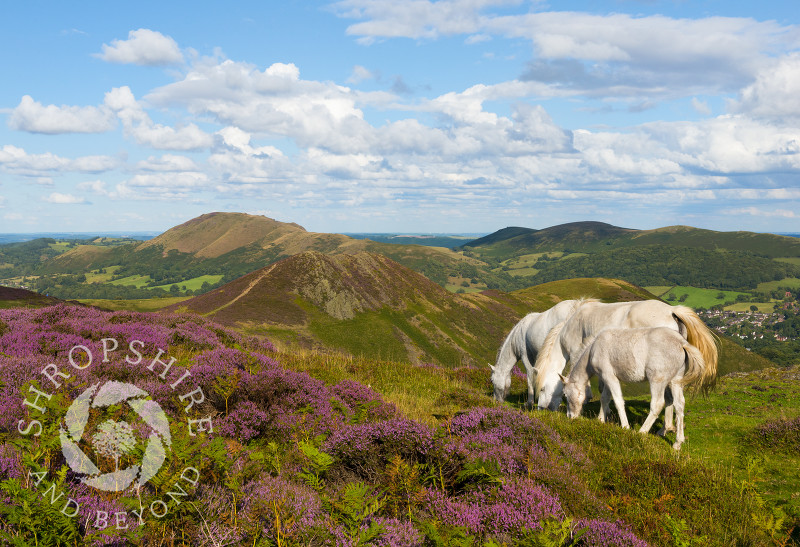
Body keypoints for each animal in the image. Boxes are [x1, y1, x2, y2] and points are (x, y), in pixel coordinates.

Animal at [564, 328, 708, 452]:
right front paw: (600, 420)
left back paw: (641, 433)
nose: (570, 416)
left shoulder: (609, 376)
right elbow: (605, 398)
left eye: (565, 395)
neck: (593, 349)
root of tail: (681, 342)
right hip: (676, 381)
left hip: (657, 380)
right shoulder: (608, 378)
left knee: (657, 404)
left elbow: (618, 401)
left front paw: (626, 427)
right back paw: (678, 443)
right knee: (679, 405)